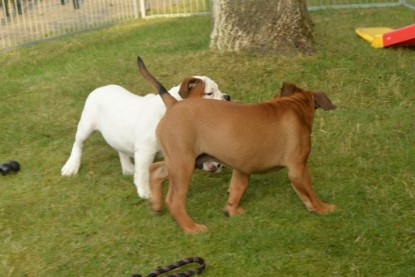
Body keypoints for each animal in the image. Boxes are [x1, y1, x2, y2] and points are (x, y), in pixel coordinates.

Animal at [61, 74, 229, 197]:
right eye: (209, 93)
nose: (227, 97)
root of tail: (100, 88)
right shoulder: (145, 151)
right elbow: (142, 173)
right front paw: (145, 191)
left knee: (120, 148)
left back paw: (128, 167)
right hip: (86, 126)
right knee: (78, 144)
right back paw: (71, 166)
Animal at [138, 56, 336, 233]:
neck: (294, 106)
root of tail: (173, 105)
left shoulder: (242, 168)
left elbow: (236, 189)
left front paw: (231, 211)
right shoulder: (298, 168)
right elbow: (310, 192)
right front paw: (322, 208)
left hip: (181, 159)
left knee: (155, 169)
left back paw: (156, 204)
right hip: (183, 164)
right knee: (175, 200)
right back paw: (191, 228)